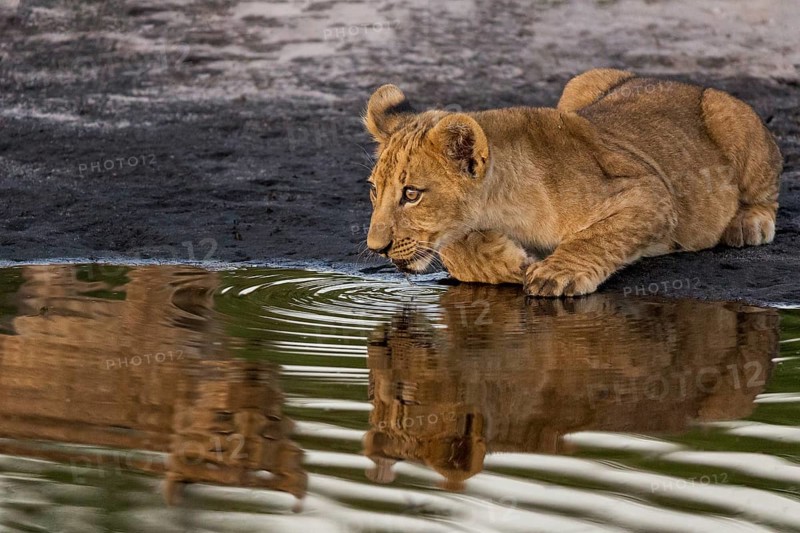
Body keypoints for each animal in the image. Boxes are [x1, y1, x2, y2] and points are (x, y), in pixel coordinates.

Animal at [363, 69, 782, 296]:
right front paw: (511, 264)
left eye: (411, 194)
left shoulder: (651, 193)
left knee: (766, 190)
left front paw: (554, 274)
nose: (376, 248)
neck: (505, 206)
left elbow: (598, 236)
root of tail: (679, 82)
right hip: (583, 82)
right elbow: (457, 250)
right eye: (374, 191)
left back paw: (748, 224)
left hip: (730, 116)